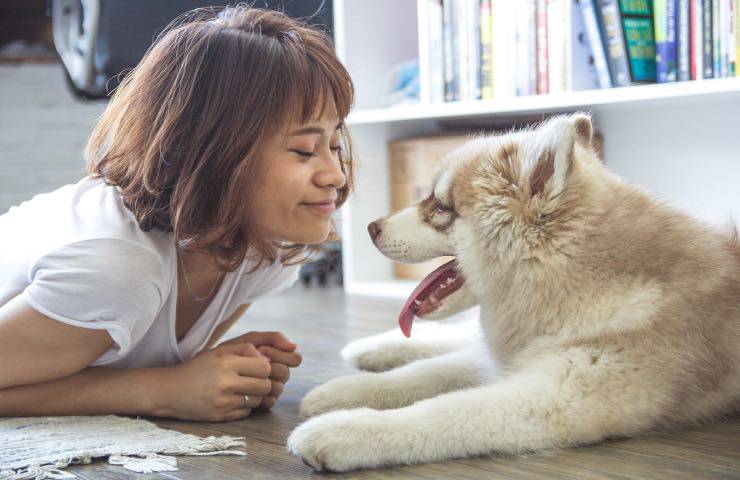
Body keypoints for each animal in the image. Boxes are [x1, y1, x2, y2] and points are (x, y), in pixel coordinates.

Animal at [284, 113, 740, 472]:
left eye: (440, 208)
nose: (369, 227)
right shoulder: (515, 358)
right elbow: (420, 375)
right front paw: (339, 393)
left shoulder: (556, 395)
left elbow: (444, 411)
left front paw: (343, 430)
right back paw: (369, 349)